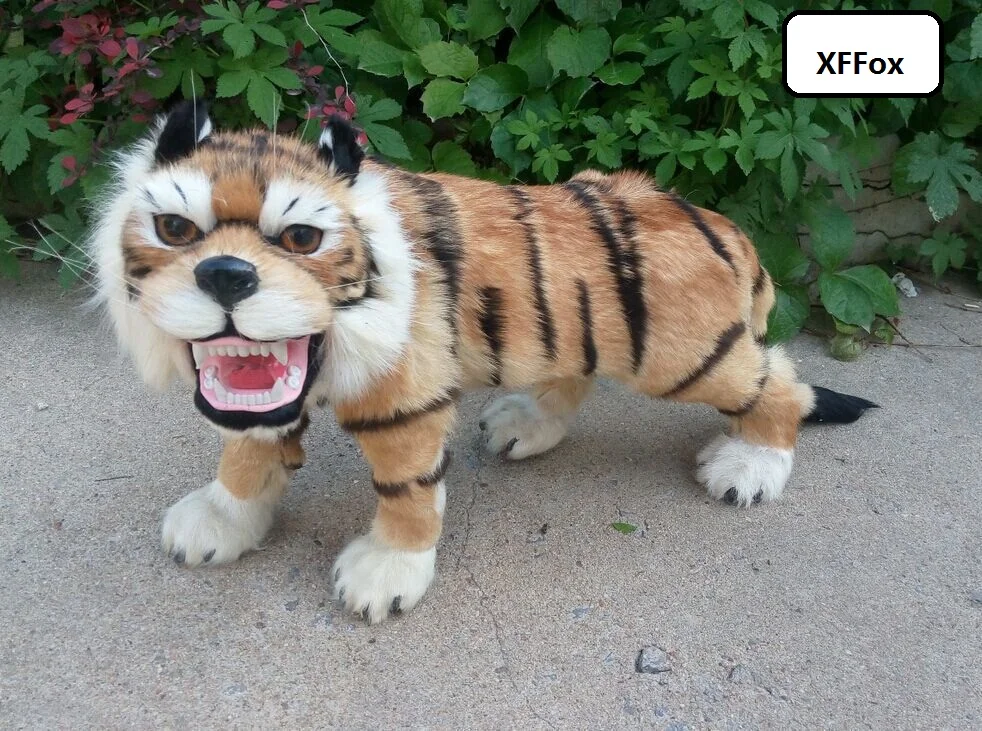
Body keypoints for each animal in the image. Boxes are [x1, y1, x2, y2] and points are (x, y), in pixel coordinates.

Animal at [90, 99, 876, 624]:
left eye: (302, 238)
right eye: (174, 228)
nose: (226, 273)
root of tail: (725, 227)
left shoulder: (403, 398)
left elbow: (406, 491)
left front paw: (385, 576)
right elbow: (245, 454)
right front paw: (220, 522)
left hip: (685, 354)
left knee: (780, 384)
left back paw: (750, 467)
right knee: (576, 372)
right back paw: (524, 425)